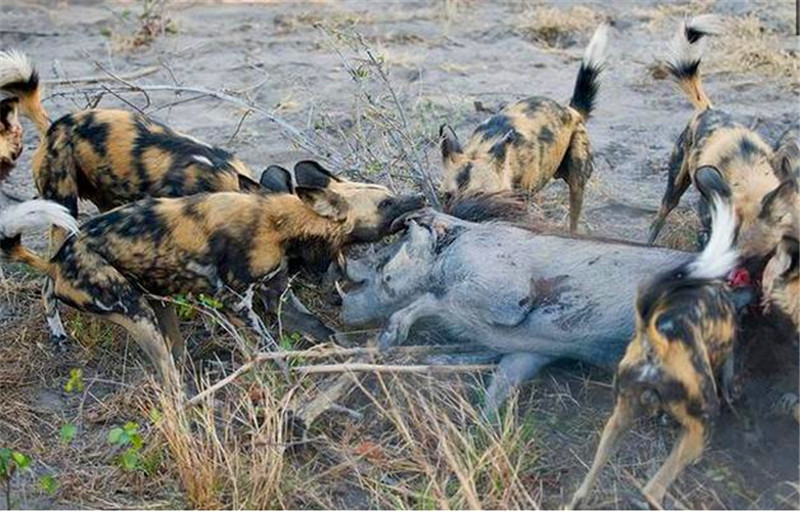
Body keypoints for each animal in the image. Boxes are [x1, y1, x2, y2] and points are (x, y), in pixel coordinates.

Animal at [0, 166, 424, 390]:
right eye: (386, 202)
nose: (421, 196)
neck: (280, 221)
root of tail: (58, 261)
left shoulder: (278, 296)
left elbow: (321, 329)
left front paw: (352, 352)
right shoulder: (235, 303)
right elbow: (270, 345)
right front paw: (288, 376)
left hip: (156, 301)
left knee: (172, 350)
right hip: (134, 309)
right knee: (165, 370)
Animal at [438, 23, 608, 232]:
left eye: (479, 195)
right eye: (447, 196)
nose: (460, 216)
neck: (483, 146)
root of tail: (570, 110)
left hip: (576, 176)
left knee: (574, 216)